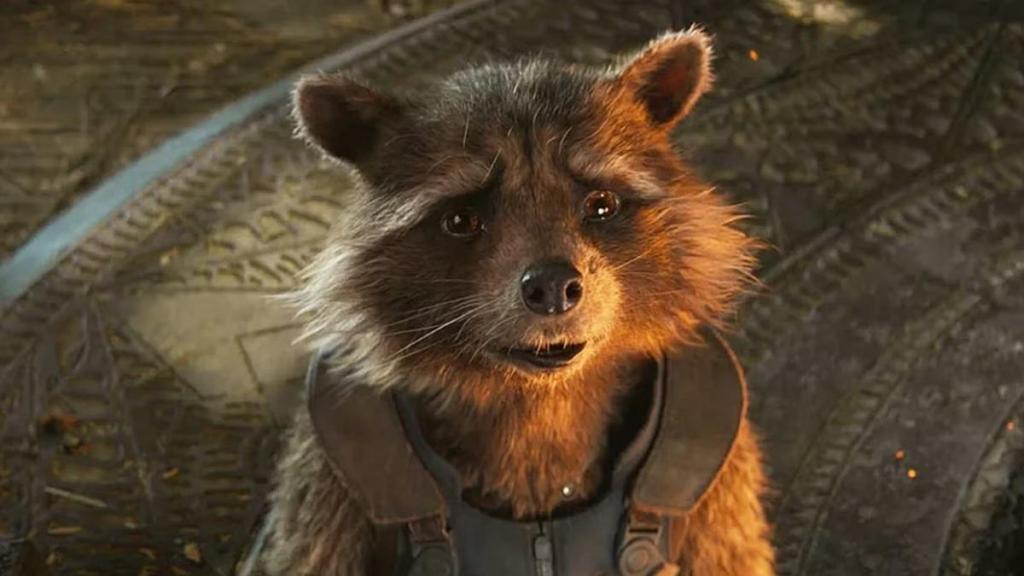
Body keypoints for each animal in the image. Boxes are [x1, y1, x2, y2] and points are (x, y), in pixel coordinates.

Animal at [251, 28, 774, 576]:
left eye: (601, 204)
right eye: (461, 219)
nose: (552, 287)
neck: (540, 398)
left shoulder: (722, 469)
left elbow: (733, 555)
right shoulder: (329, 474)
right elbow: (307, 556)